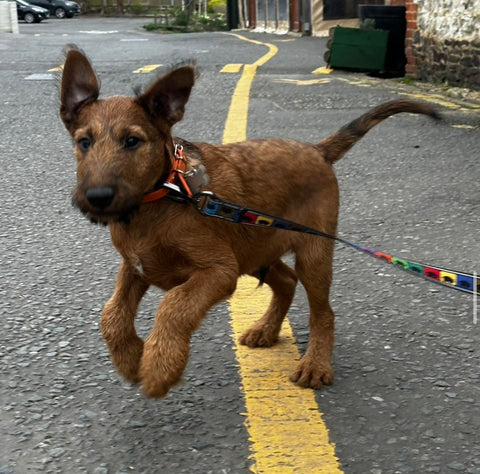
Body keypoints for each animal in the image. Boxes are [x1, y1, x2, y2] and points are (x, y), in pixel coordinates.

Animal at [60, 46, 438, 398]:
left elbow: (173, 306)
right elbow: (112, 314)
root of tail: (316, 150)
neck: (163, 195)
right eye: (84, 142)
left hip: (312, 254)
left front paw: (159, 367)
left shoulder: (219, 270)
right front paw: (129, 358)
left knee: (323, 312)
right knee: (286, 281)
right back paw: (266, 329)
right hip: (256, 249)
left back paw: (315, 365)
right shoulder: (135, 266)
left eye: (132, 141)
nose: (97, 196)